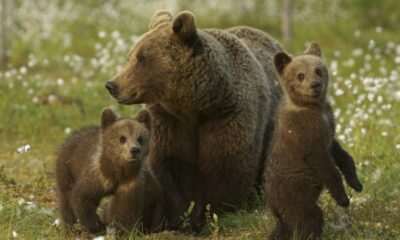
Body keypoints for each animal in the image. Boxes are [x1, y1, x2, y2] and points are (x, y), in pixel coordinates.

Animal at [104, 9, 282, 231]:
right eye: (131, 56)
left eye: (141, 58)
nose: (112, 85)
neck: (195, 105)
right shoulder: (170, 122)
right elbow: (173, 169)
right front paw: (180, 219)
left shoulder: (228, 116)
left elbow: (226, 165)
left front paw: (211, 216)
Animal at [264, 43, 354, 240]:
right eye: (300, 75)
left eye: (318, 70)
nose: (315, 85)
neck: (313, 108)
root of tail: (274, 209)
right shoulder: (306, 135)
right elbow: (325, 165)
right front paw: (342, 198)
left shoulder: (328, 128)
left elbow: (340, 153)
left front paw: (355, 182)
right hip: (294, 194)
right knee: (309, 217)